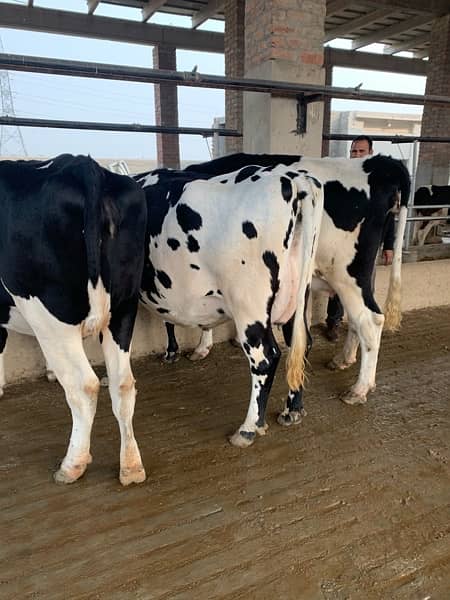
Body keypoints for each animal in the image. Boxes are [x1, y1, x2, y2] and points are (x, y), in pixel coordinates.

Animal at [0, 152, 147, 486]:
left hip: (51, 316)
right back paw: (131, 467)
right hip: (124, 307)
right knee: (122, 383)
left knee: (83, 386)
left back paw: (72, 464)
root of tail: (82, 165)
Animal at [137, 166, 324, 448]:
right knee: (300, 345)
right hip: (298, 295)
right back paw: (292, 410)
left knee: (266, 358)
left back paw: (248, 428)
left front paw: (171, 352)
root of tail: (293, 177)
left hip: (249, 305)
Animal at [153, 152, 410, 420]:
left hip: (346, 274)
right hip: (359, 277)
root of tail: (380, 162)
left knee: (370, 320)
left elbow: (170, 316)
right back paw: (343, 359)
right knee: (359, 319)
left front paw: (180, 350)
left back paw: (359, 389)